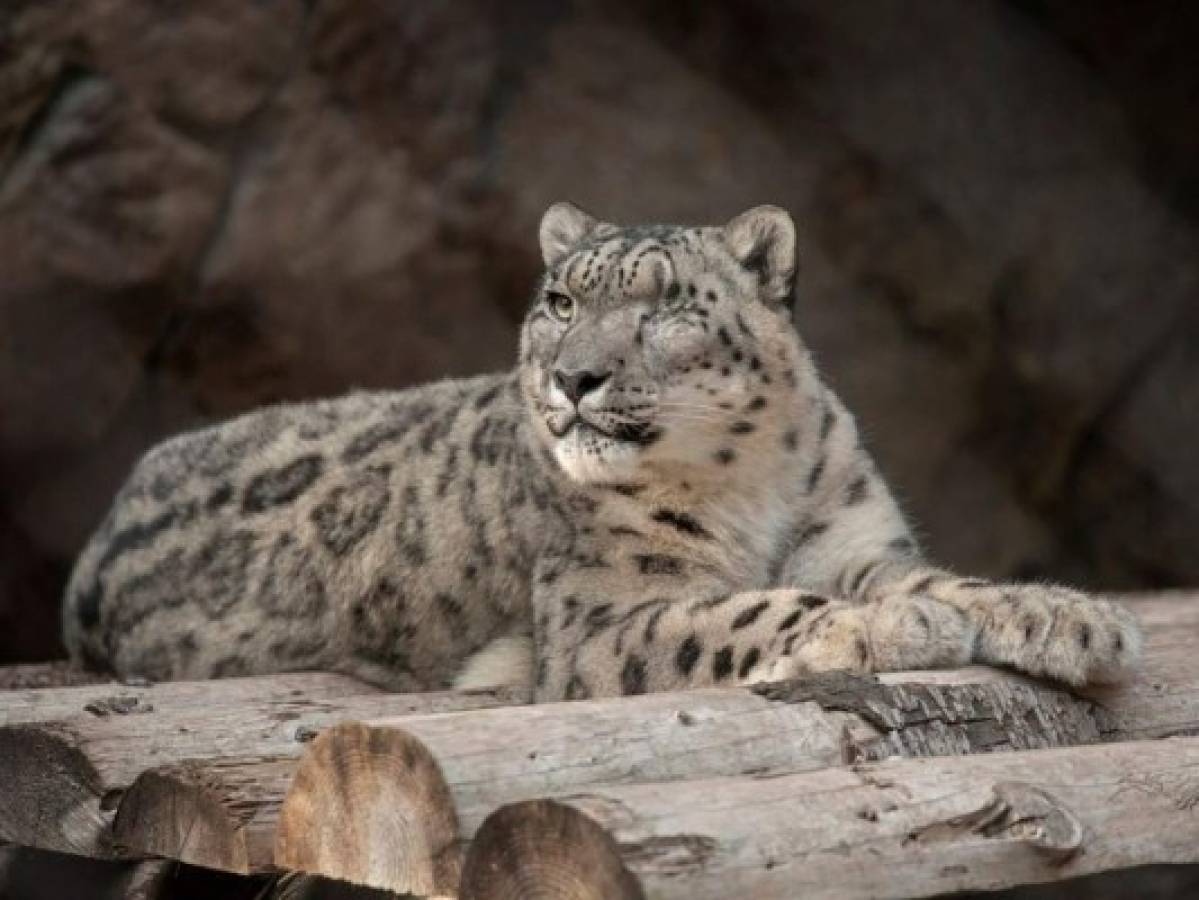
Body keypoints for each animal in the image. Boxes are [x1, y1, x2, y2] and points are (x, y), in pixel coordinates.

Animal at [63, 202, 1142, 699]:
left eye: (665, 306)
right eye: (559, 302)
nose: (571, 377)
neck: (752, 484)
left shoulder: (855, 544)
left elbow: (940, 580)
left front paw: (1066, 617)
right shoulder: (603, 616)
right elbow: (743, 610)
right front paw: (883, 629)